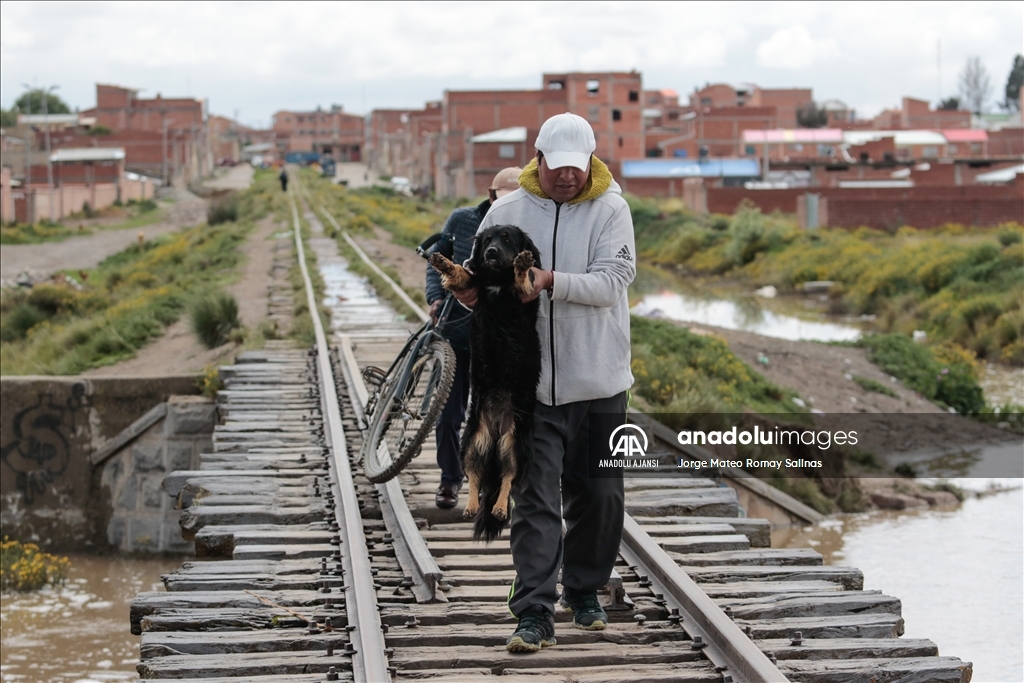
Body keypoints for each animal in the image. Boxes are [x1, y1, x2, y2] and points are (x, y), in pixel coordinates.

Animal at [430, 227, 544, 540]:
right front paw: (444, 262)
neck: (496, 280)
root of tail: (495, 429)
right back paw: (470, 506)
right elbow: (460, 273)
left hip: (514, 446)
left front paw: (522, 264)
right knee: (475, 477)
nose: (491, 252)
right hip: (472, 442)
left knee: (507, 480)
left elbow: (523, 281)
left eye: (507, 239)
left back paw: (501, 508)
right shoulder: (474, 284)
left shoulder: (524, 296)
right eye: (488, 240)